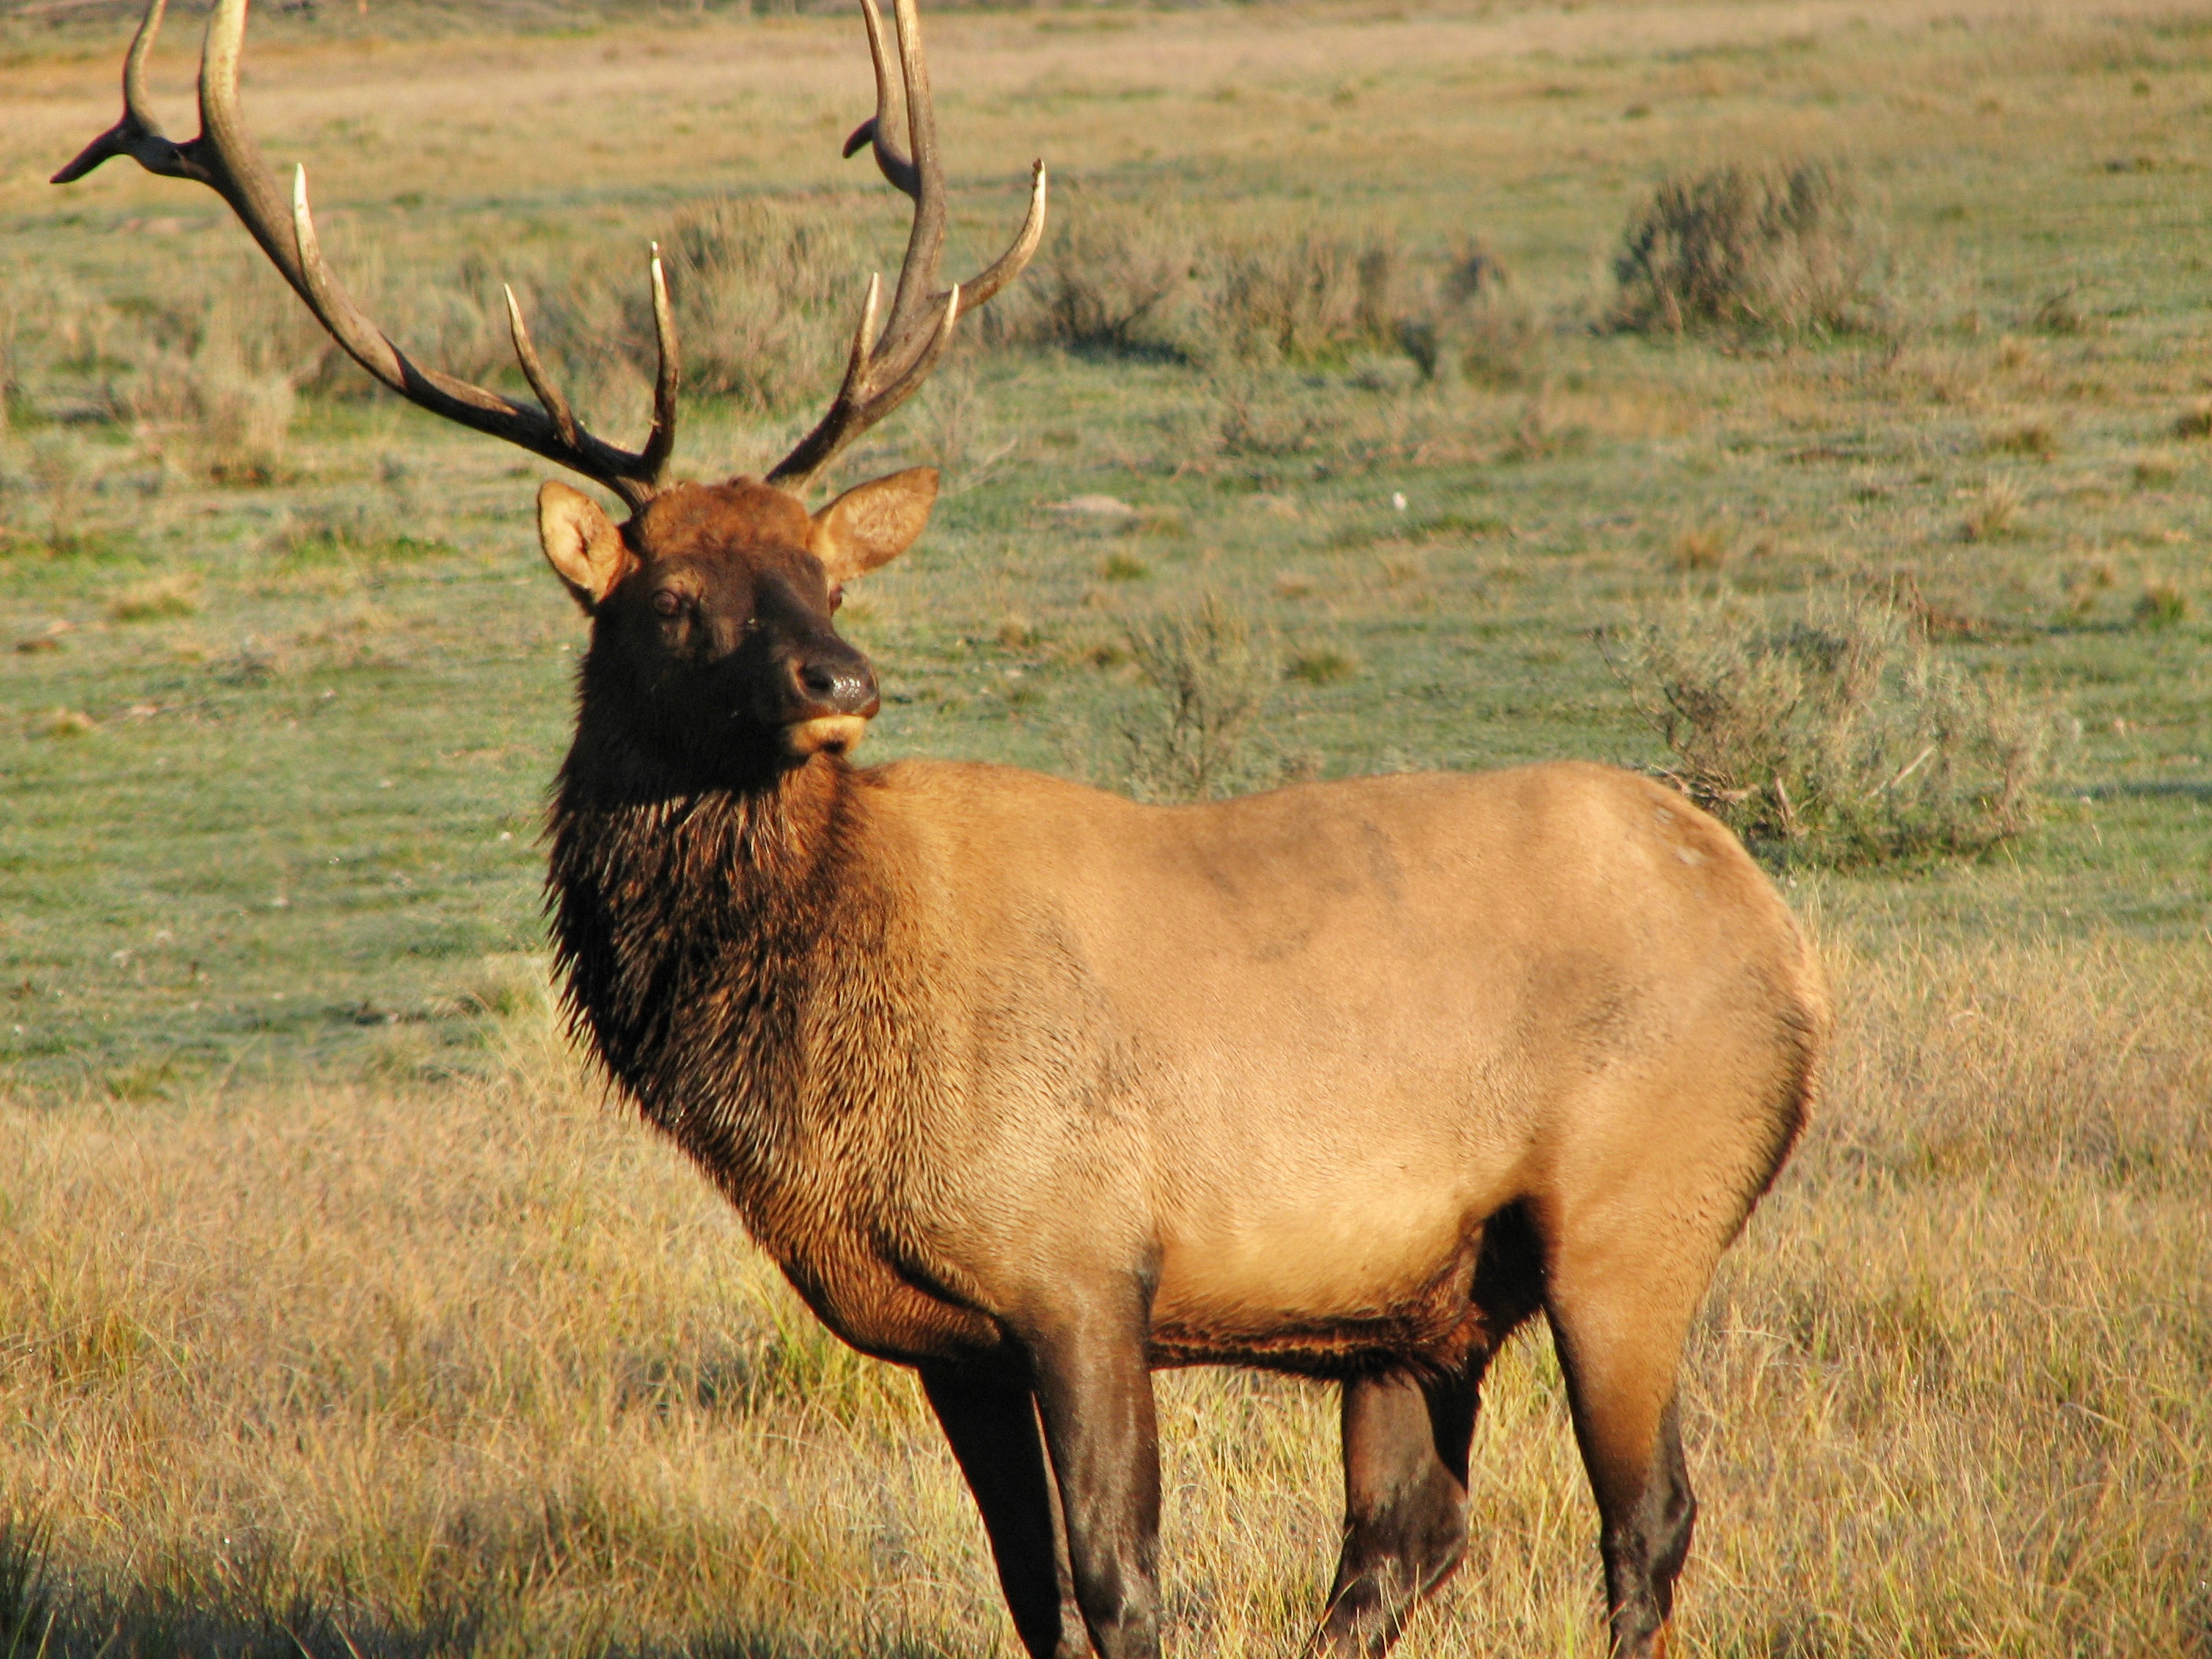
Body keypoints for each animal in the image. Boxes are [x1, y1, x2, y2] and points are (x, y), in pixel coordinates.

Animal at [64, 3, 1831, 1659]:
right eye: (676, 597)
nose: (844, 680)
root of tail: (1789, 948)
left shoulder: (1081, 1262)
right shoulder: (944, 1337)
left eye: (825, 576)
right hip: (1417, 1305)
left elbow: (1119, 1584)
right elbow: (1031, 1594)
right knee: (1404, 1540)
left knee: (1647, 1520)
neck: (815, 1087)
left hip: (1630, 1216)